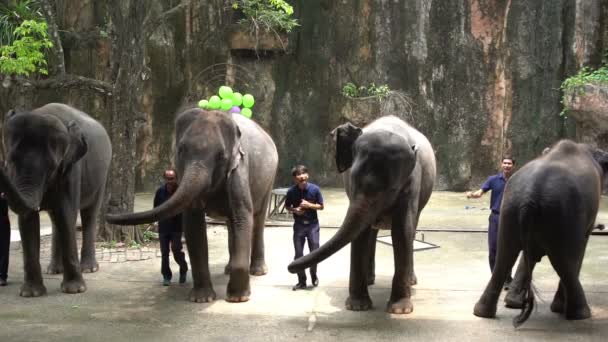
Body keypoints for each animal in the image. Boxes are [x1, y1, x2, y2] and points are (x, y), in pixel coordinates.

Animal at [0, 103, 111, 298]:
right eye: (10, 161)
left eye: (52, 166)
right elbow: (27, 220)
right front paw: (31, 293)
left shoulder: (72, 169)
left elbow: (67, 214)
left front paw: (75, 290)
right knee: (55, 219)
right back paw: (53, 270)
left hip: (102, 177)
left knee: (89, 213)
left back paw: (88, 268)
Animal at [108, 108, 280, 304]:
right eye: (181, 150)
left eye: (221, 156)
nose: (107, 215)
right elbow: (193, 225)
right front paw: (202, 299)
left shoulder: (239, 169)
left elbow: (242, 218)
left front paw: (238, 298)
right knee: (231, 224)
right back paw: (228, 269)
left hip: (269, 178)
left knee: (257, 220)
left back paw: (258, 271)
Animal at [288, 116, 434, 314]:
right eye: (352, 179)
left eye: (393, 189)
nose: (289, 267)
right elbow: (359, 234)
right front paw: (357, 307)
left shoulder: (412, 184)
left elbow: (402, 231)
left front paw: (399, 310)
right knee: (369, 231)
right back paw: (370, 280)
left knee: (409, 230)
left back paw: (410, 282)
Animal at [476, 140, 608, 326]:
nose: (602, 227)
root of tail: (532, 193)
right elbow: (580, 248)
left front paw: (513, 302)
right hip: (562, 213)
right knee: (564, 260)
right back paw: (578, 314)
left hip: (510, 207)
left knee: (505, 255)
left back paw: (485, 311)